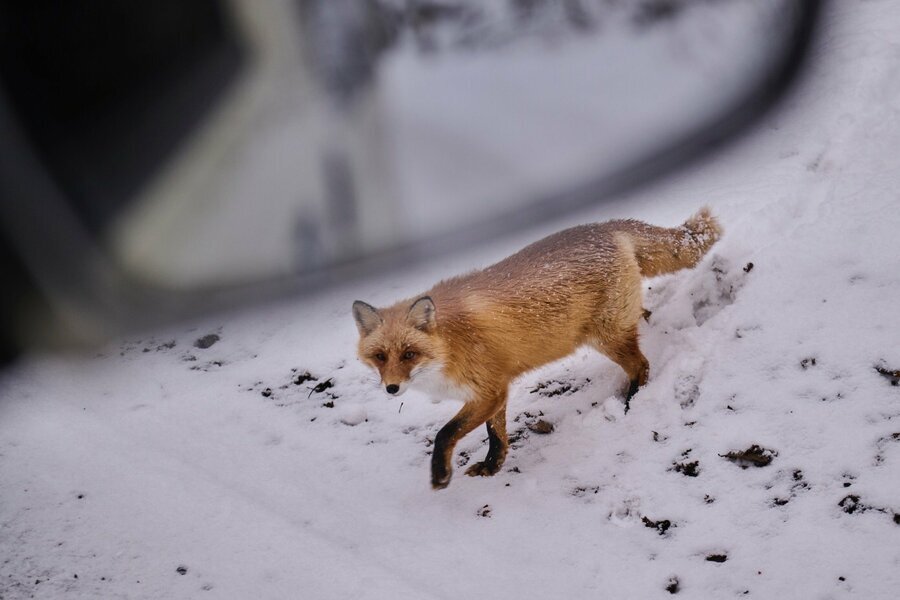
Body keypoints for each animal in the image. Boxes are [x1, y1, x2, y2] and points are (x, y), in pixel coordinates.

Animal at [354, 209, 724, 490]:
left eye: (409, 354)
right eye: (380, 357)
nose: (391, 388)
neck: (449, 344)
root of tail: (605, 225)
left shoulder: (488, 390)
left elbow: (446, 434)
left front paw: (441, 474)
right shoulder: (495, 390)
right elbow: (496, 434)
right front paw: (493, 466)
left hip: (607, 338)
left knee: (641, 366)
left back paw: (632, 401)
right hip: (620, 324)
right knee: (643, 329)